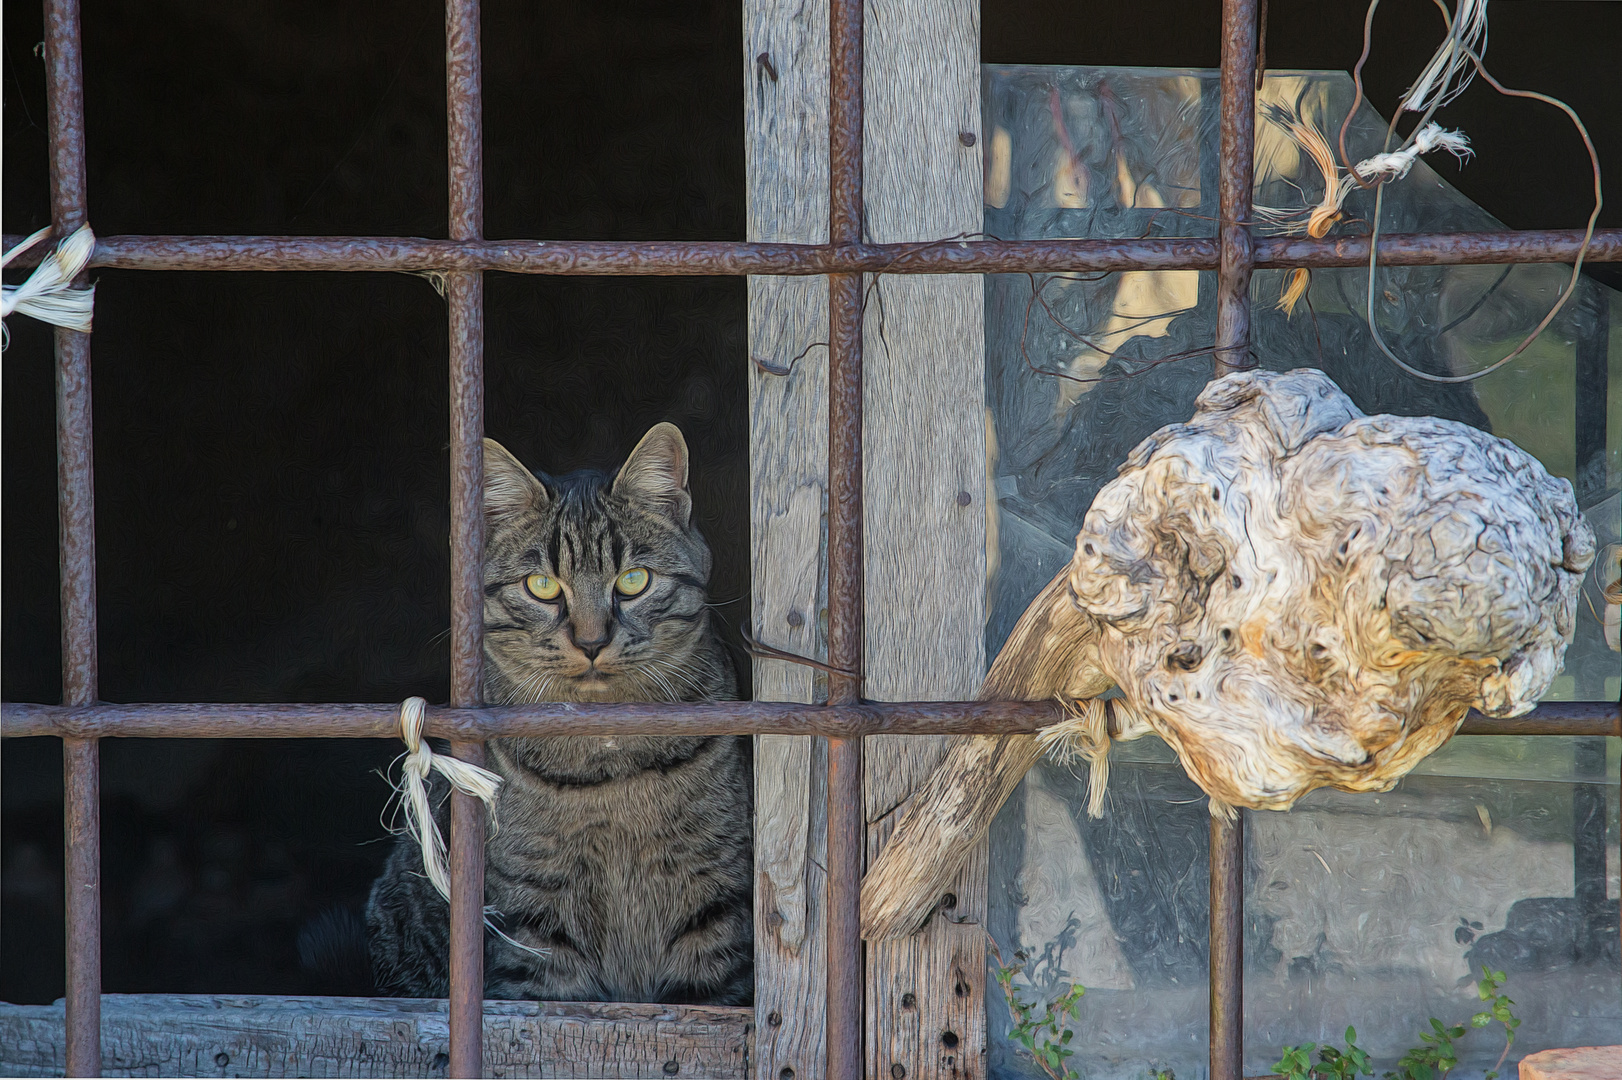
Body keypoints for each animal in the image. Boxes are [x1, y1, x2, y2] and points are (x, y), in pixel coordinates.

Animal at [364, 421, 749, 998]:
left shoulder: (717, 901)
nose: (591, 641)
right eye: (542, 586)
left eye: (633, 580)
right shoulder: (534, 918)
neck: (609, 761)